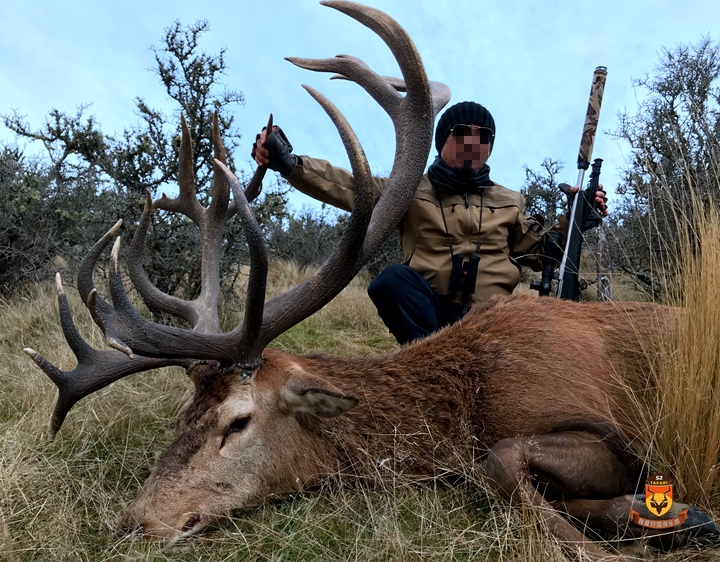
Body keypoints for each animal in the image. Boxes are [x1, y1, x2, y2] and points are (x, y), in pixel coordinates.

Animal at [23, 2, 719, 559]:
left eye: (237, 423)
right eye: (180, 417)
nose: (134, 523)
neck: (462, 406)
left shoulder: (608, 424)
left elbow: (499, 464)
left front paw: (634, 532)